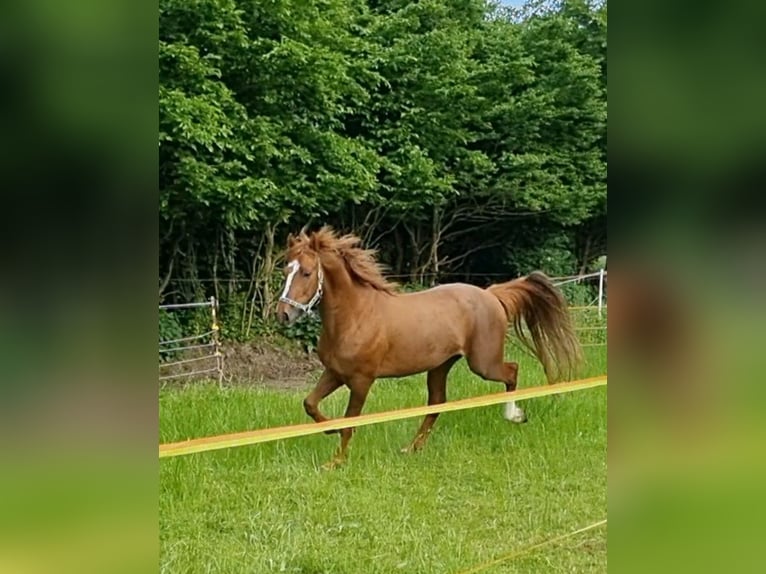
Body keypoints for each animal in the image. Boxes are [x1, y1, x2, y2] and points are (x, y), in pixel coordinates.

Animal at [276, 226, 582, 469]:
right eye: (285, 270)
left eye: (306, 273)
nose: (283, 314)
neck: (357, 316)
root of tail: (490, 295)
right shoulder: (335, 373)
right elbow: (310, 404)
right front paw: (328, 430)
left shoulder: (362, 380)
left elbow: (350, 423)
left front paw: (336, 462)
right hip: (440, 366)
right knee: (437, 404)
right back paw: (412, 448)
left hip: (483, 363)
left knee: (512, 371)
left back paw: (514, 416)